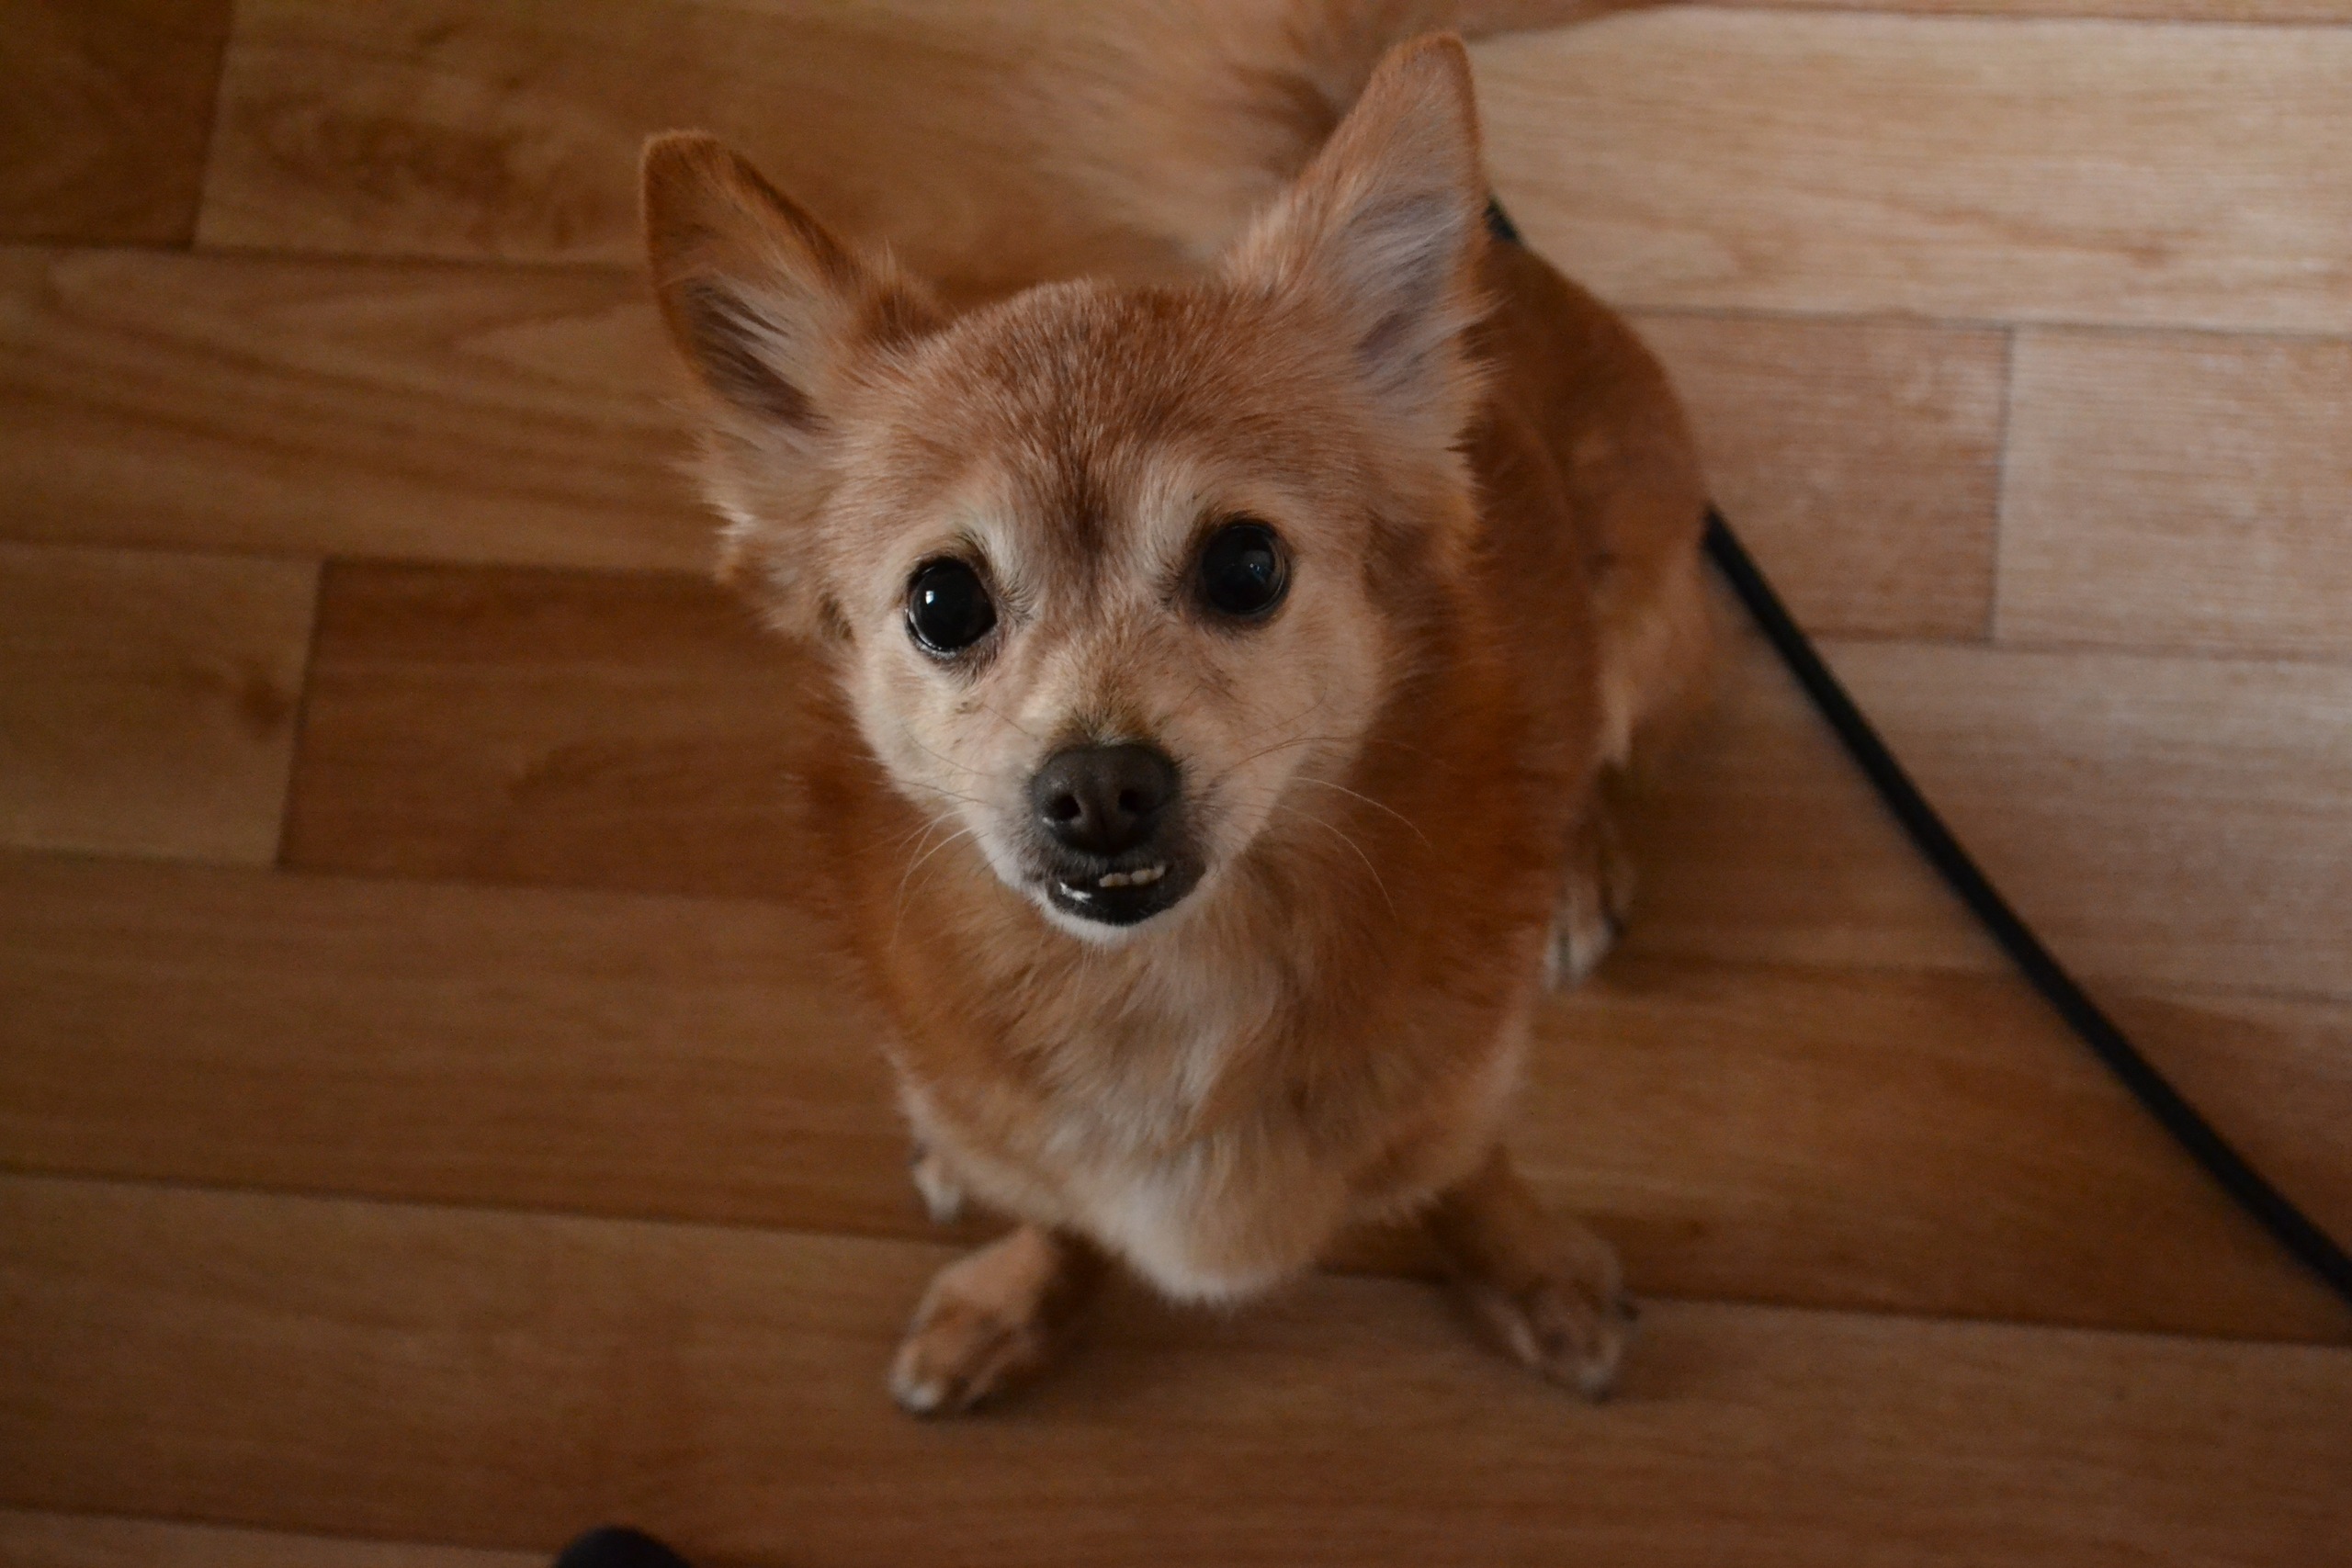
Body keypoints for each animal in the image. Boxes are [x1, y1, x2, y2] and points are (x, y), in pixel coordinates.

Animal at [640, 31, 1709, 1413]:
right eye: (943, 601)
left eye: (1247, 565)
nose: (1099, 786)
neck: (1162, 988)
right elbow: (1060, 1213)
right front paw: (1015, 1297)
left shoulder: (1456, 1089)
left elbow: (1465, 1167)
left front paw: (1531, 1272)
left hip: (1640, 605)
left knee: (1602, 748)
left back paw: (1576, 870)